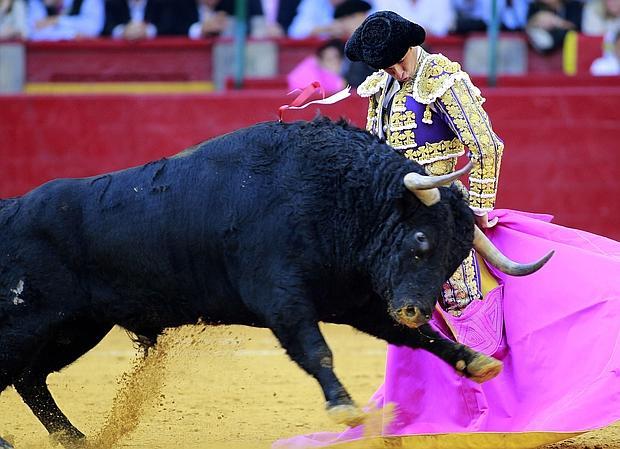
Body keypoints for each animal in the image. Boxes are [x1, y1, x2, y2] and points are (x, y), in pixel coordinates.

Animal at [0, 116, 544, 444]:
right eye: (420, 241)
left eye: (454, 258)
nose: (412, 307)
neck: (336, 197)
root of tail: (12, 209)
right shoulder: (282, 299)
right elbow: (316, 350)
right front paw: (345, 410)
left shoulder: (357, 303)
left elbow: (420, 338)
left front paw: (476, 362)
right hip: (29, 322)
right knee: (18, 373)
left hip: (77, 327)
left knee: (30, 379)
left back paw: (74, 438)